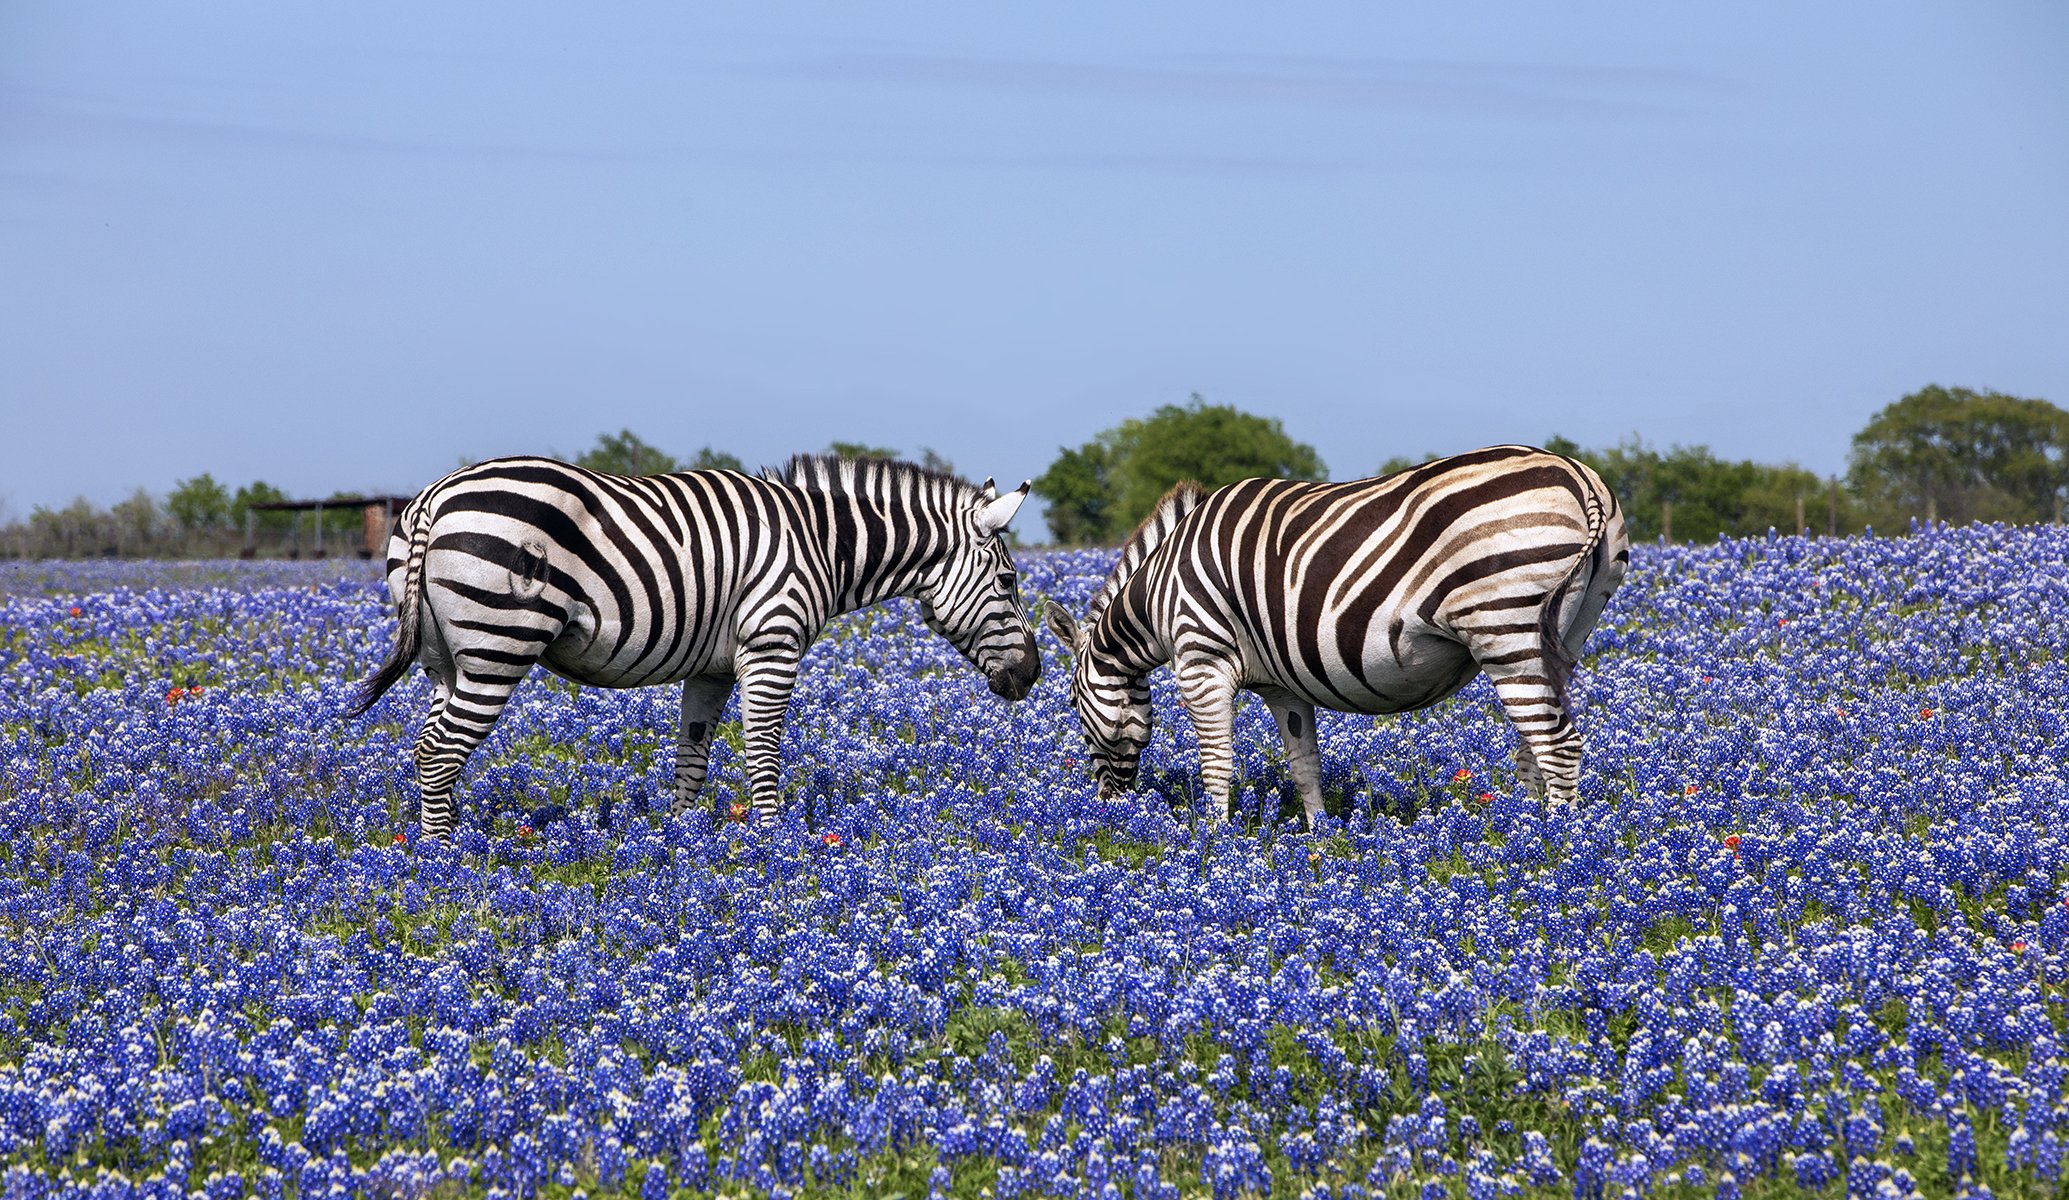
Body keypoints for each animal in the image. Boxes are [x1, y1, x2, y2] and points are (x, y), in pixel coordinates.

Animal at [351, 455, 1051, 839]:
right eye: (1010, 582)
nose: (1033, 674)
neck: (821, 543)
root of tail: (437, 495)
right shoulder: (771, 643)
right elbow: (764, 751)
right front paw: (771, 845)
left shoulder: (712, 669)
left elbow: (693, 757)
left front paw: (686, 849)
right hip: (500, 644)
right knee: (441, 751)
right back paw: (446, 864)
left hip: (445, 661)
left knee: (429, 744)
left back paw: (447, 845)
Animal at [1042, 444, 1622, 831]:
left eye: (1071, 705)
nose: (1107, 806)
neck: (1157, 594)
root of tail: (1579, 476)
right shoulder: (1282, 686)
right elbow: (1304, 766)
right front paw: (1320, 844)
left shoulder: (1200, 660)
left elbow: (1216, 763)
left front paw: (1214, 842)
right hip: (1565, 634)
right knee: (1535, 747)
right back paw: (1520, 831)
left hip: (1501, 626)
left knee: (1556, 745)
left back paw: (1551, 848)